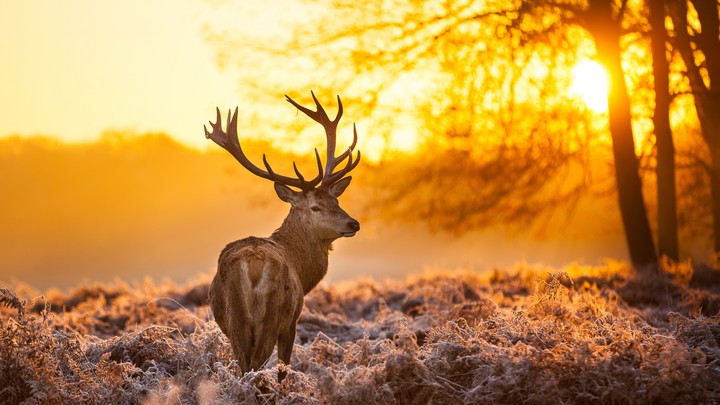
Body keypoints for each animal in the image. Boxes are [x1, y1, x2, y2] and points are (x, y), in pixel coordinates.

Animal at [203, 92, 361, 381]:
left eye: (336, 200)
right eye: (316, 207)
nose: (353, 223)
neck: (302, 269)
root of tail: (253, 264)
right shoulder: (292, 321)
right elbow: (284, 368)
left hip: (234, 319)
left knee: (244, 364)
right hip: (273, 314)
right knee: (256, 364)